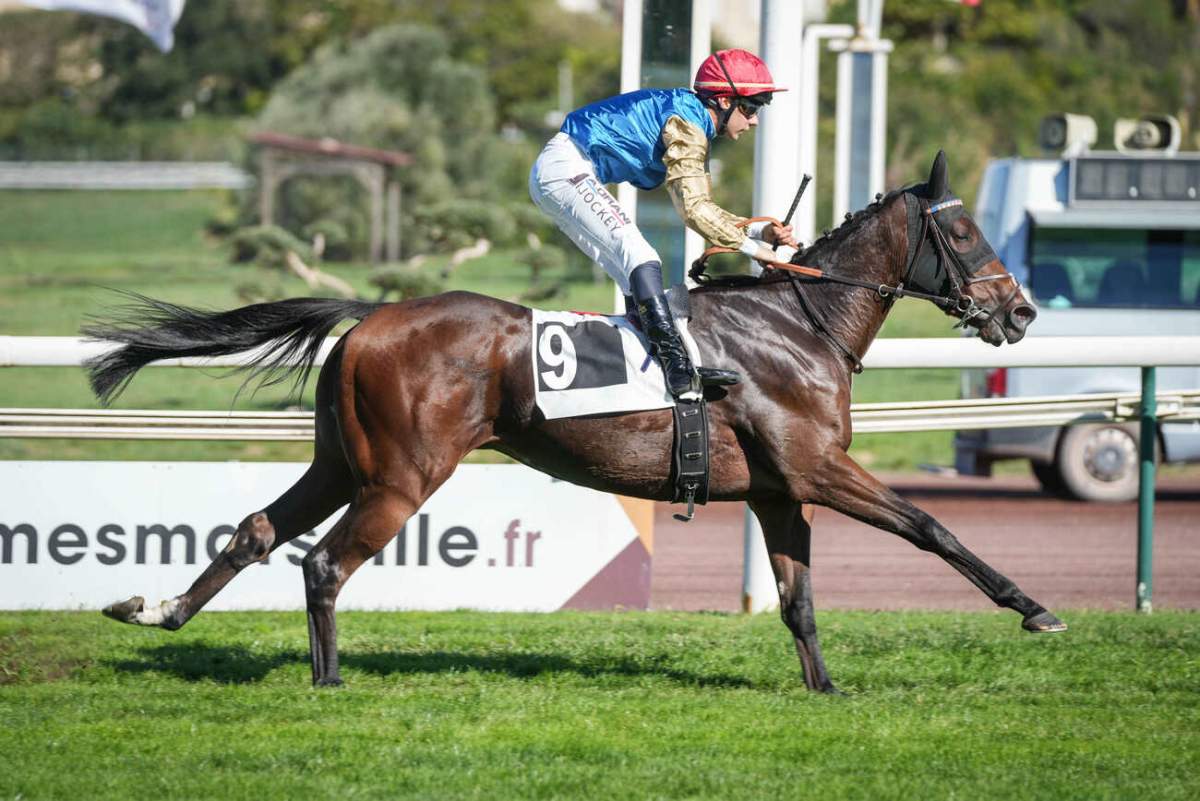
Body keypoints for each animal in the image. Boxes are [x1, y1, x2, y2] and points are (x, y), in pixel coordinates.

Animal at [86, 151, 1064, 693]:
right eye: (966, 233)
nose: (1019, 312)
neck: (800, 323)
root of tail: (371, 315)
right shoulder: (818, 467)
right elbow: (932, 525)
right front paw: (1034, 608)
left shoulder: (781, 489)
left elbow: (798, 601)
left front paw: (825, 690)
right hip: (400, 477)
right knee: (324, 561)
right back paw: (327, 681)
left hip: (340, 462)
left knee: (259, 529)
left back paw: (158, 609)